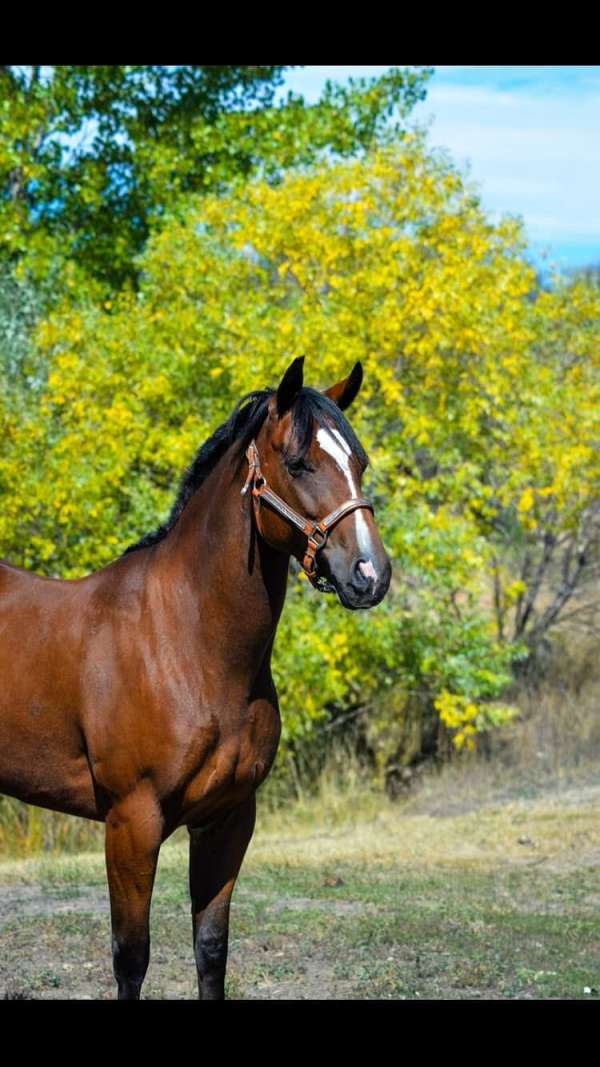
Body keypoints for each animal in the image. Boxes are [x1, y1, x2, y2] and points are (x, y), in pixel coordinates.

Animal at [0, 358, 388, 998]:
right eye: (299, 462)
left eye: (358, 462)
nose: (370, 574)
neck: (188, 645)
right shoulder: (131, 822)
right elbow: (131, 957)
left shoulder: (228, 820)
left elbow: (211, 949)